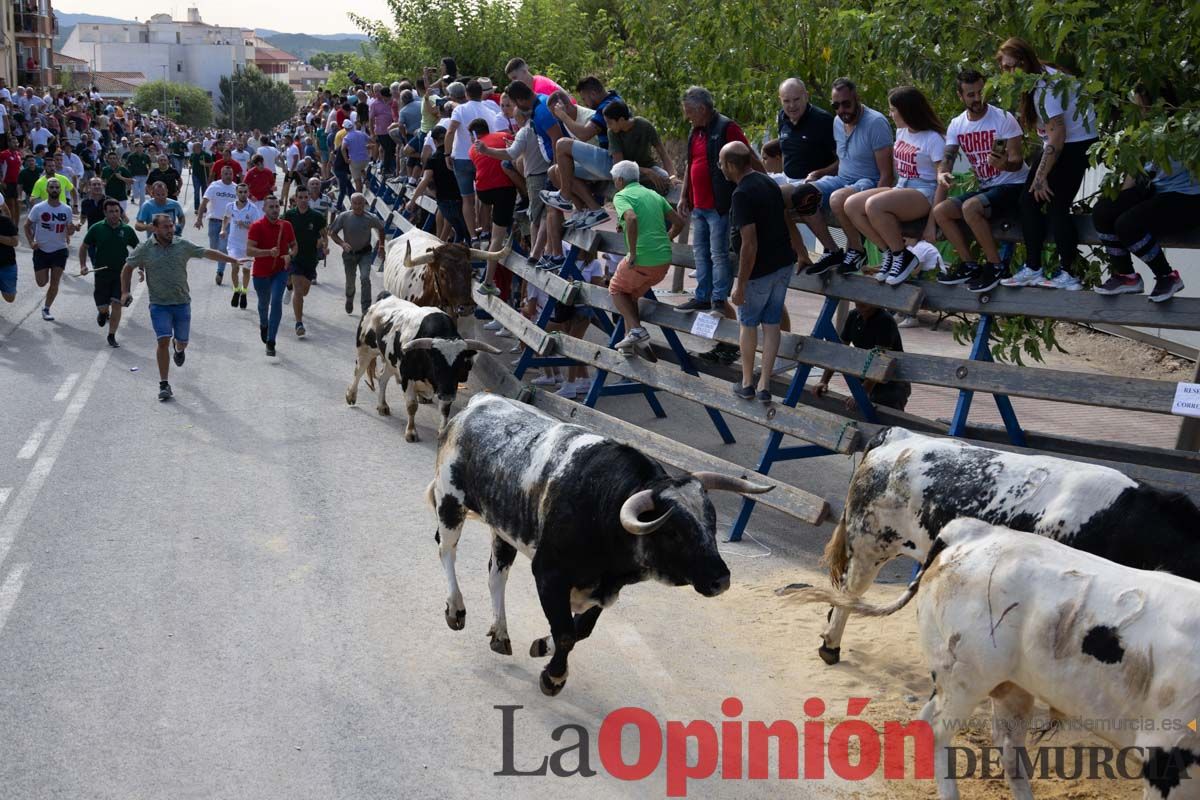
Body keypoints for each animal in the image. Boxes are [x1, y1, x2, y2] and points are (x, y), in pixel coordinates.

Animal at [345, 296, 499, 441]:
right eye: (436, 363)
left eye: (460, 365)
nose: (447, 394)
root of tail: (384, 298)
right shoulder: (407, 378)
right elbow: (412, 406)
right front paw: (411, 432)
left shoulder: (447, 386)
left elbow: (445, 409)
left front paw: (443, 431)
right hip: (365, 349)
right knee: (358, 372)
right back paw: (351, 396)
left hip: (391, 361)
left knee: (382, 379)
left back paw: (382, 405)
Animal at [427, 398, 772, 695]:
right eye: (673, 532)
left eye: (711, 521)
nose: (721, 579)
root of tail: (477, 404)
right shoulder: (549, 575)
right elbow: (566, 633)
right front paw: (554, 677)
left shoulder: (604, 590)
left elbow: (580, 630)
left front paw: (542, 647)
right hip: (450, 503)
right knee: (446, 551)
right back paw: (456, 609)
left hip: (503, 528)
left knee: (496, 575)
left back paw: (500, 633)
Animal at [796, 520, 1200, 800]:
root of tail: (975, 532)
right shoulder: (1166, 753)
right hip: (967, 677)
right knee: (941, 730)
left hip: (1009, 686)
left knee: (1004, 749)